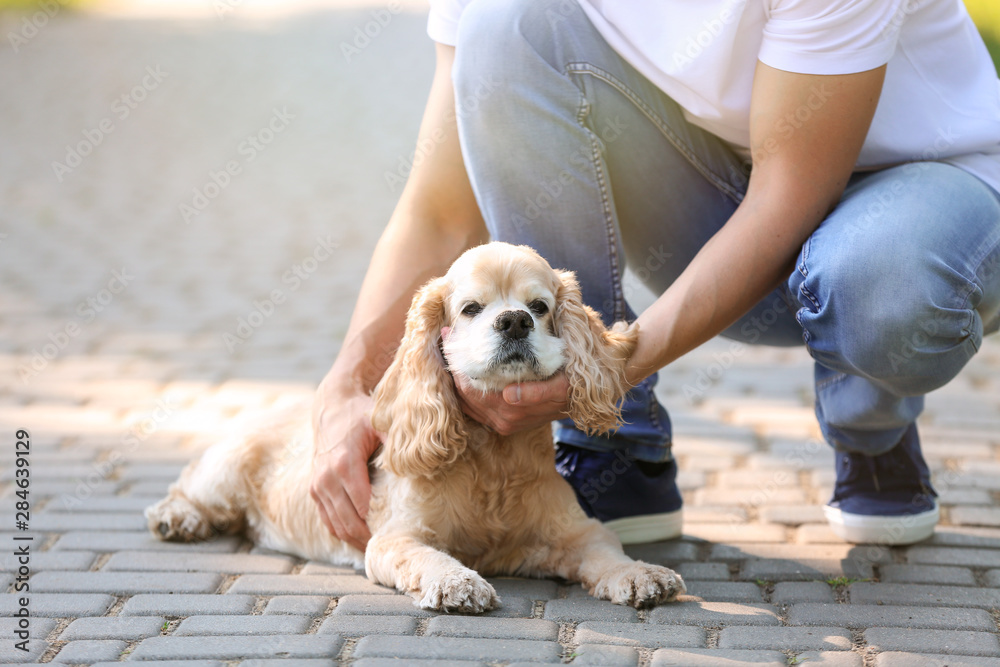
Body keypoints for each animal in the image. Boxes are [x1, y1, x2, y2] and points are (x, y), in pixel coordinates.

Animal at [146, 243, 688, 612]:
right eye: (471, 309)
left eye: (539, 307)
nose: (514, 321)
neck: (494, 458)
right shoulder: (395, 540)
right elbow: (429, 558)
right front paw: (456, 583)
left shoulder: (576, 533)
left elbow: (607, 552)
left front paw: (639, 574)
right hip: (224, 470)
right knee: (187, 486)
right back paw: (178, 517)